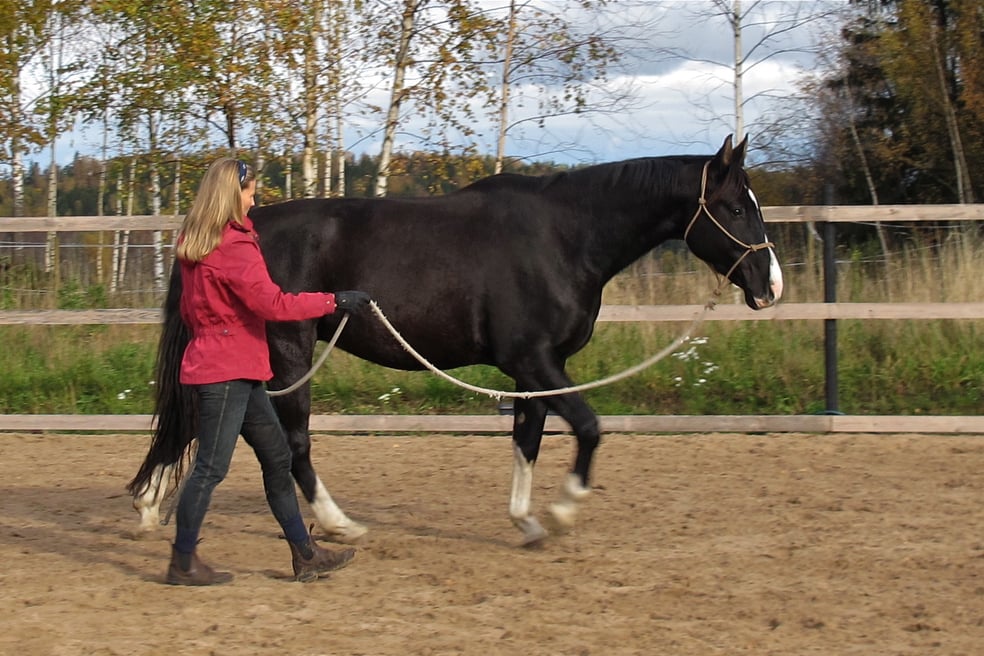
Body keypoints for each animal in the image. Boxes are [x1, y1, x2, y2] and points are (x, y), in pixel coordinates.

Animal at [129, 133, 784, 544]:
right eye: (734, 206)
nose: (770, 283)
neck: (564, 236)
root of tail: (235, 225)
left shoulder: (530, 372)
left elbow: (528, 441)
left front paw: (527, 522)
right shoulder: (536, 360)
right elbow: (590, 427)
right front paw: (564, 510)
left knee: (208, 419)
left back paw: (151, 503)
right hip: (289, 354)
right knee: (292, 443)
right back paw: (338, 525)